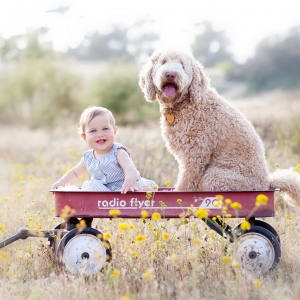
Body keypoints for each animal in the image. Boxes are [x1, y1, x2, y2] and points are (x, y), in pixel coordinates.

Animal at [139, 49, 300, 207]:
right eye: (163, 62)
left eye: (183, 66)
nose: (171, 74)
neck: (184, 105)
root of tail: (266, 184)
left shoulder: (195, 154)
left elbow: (186, 183)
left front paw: (178, 197)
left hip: (214, 177)